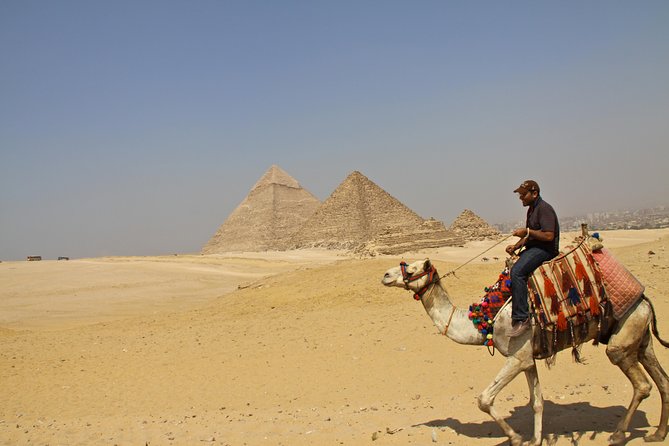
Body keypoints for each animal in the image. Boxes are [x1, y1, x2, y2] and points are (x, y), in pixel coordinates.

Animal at [382, 258, 669, 445]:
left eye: (413, 268)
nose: (385, 275)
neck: (483, 320)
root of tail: (644, 300)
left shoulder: (516, 357)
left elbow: (484, 399)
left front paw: (517, 437)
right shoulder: (528, 359)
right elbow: (537, 402)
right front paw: (535, 439)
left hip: (622, 340)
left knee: (642, 383)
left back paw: (619, 434)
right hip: (641, 340)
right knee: (662, 380)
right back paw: (657, 434)